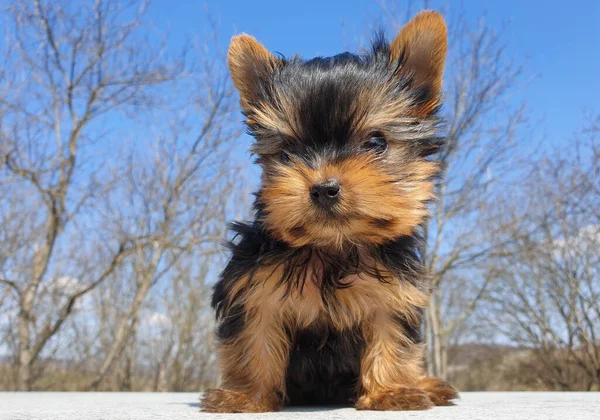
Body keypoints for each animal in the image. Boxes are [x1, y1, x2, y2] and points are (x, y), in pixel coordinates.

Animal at [202, 10, 460, 414]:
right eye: (287, 152)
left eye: (375, 142)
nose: (324, 188)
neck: (334, 247)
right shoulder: (255, 292)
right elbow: (253, 344)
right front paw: (245, 396)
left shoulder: (393, 295)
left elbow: (391, 341)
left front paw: (390, 391)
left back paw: (426, 384)